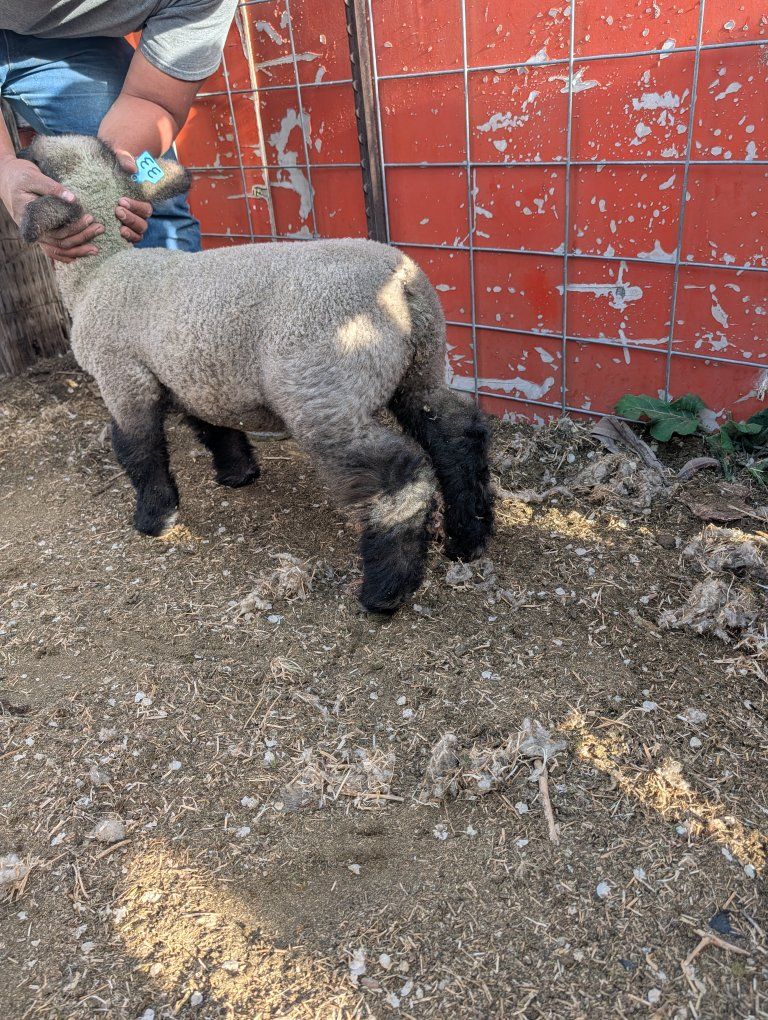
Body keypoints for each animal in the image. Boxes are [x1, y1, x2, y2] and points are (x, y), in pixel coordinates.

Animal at [19, 134, 494, 613]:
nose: (21, 150)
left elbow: (139, 450)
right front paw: (238, 474)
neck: (98, 272)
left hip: (320, 391)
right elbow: (214, 428)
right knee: (457, 433)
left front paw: (155, 518)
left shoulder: (122, 378)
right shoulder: (196, 375)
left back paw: (386, 590)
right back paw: (468, 537)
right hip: (421, 368)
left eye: (37, 161)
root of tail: (401, 283)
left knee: (400, 479)